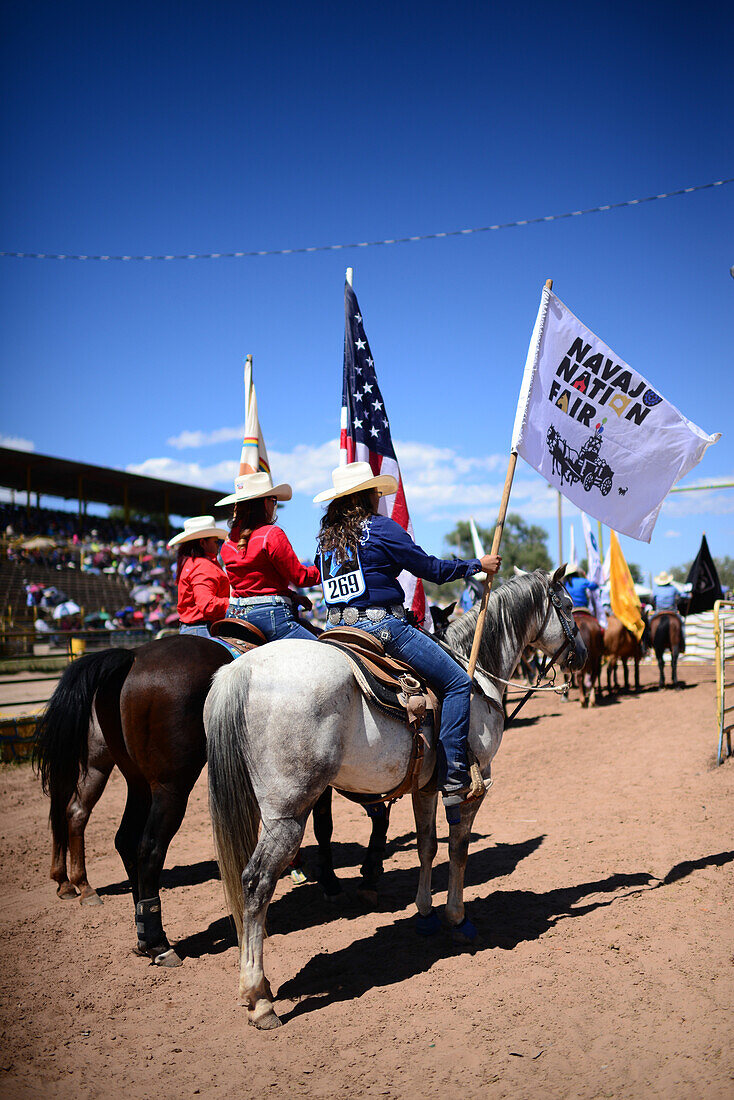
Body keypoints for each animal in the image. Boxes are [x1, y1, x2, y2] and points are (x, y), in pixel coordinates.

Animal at [205, 567, 585, 1029]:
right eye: (568, 605)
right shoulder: (471, 787)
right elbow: (458, 849)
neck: (473, 672)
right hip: (288, 814)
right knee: (255, 883)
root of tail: (242, 669)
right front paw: (457, 919)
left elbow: (426, 847)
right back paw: (259, 997)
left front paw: (424, 915)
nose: (582, 654)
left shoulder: (424, 787)